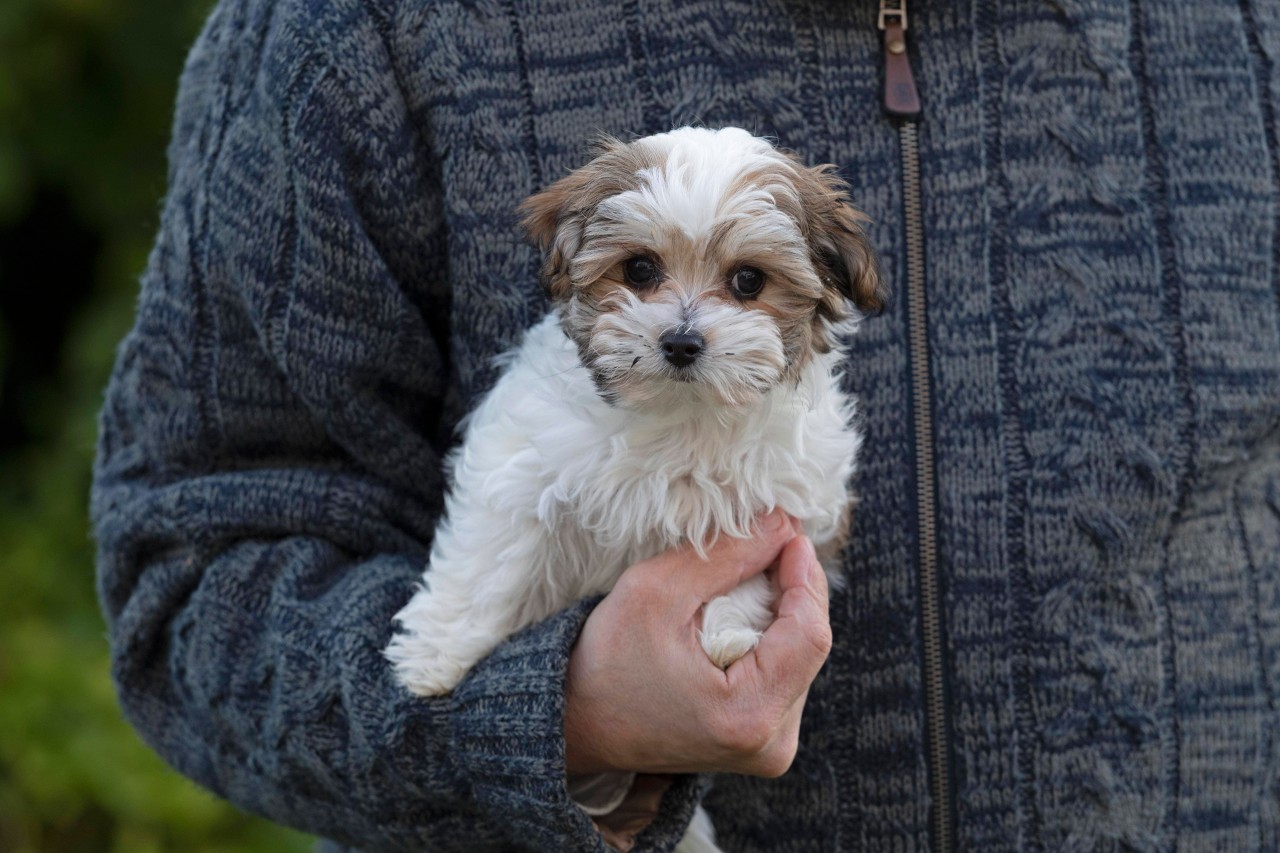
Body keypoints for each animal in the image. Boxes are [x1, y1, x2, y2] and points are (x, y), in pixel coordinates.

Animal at [386, 124, 880, 845]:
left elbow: (744, 572)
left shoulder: (785, 507)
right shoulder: (523, 460)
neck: (682, 414)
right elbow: (487, 557)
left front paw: (726, 635)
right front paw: (433, 656)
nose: (681, 341)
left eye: (749, 280)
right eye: (640, 270)